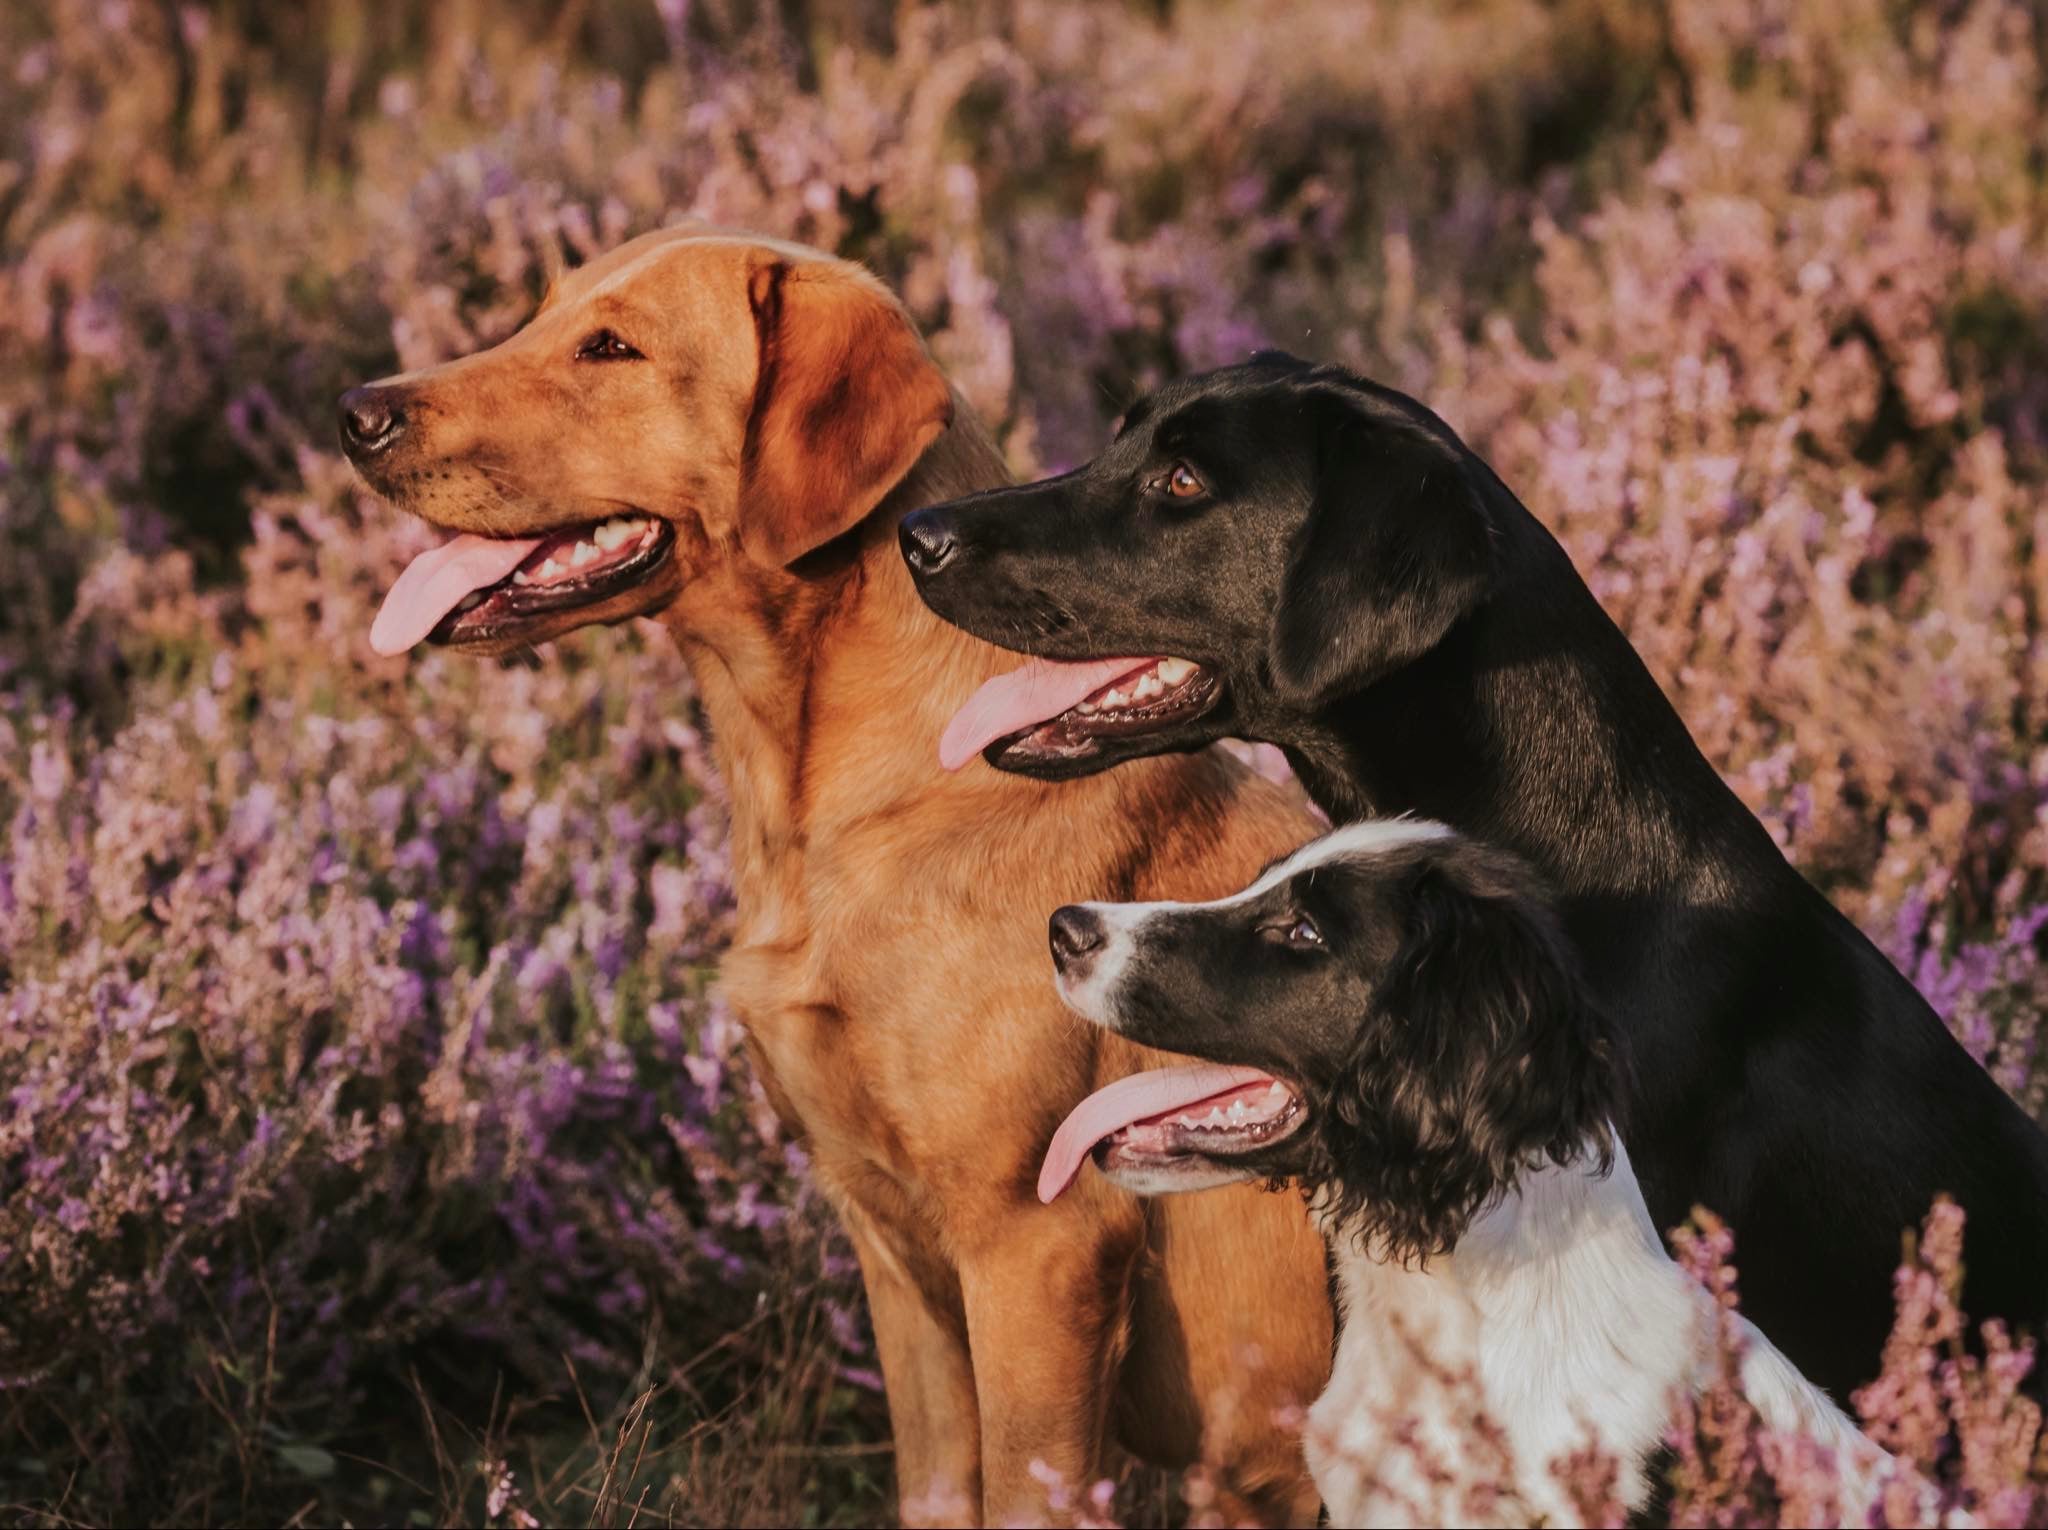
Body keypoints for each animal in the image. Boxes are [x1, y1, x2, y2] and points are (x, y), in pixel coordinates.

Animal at [339, 230, 1327, 1530]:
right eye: (541, 311)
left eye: (610, 347)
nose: (354, 413)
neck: (813, 794)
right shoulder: (894, 1255)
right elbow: (936, 1489)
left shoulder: (1037, 1247)